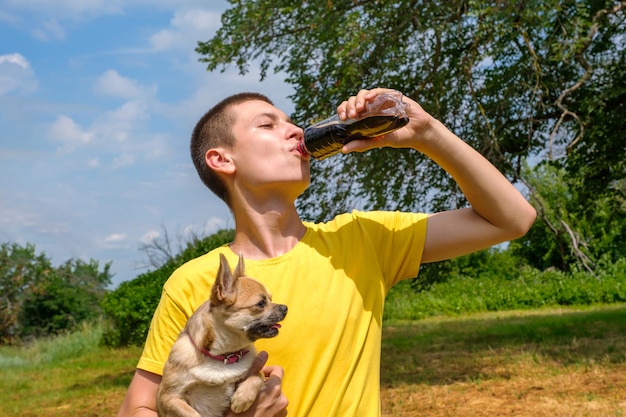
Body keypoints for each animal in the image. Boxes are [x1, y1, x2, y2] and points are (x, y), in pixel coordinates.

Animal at [156, 252, 288, 414]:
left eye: (271, 299)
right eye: (261, 303)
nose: (285, 308)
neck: (224, 356)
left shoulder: (254, 374)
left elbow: (258, 375)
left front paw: (242, 398)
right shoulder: (168, 398)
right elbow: (191, 413)